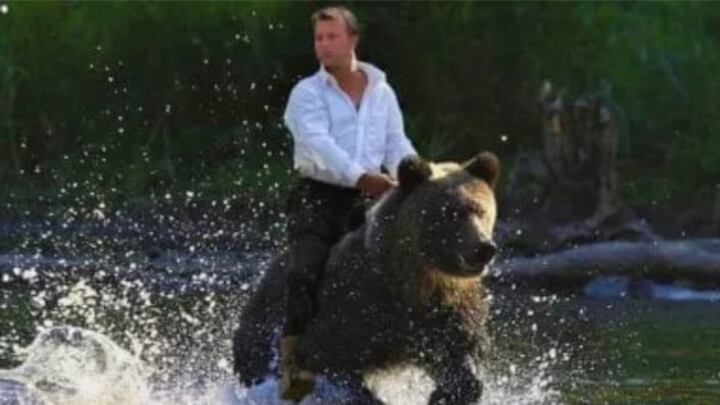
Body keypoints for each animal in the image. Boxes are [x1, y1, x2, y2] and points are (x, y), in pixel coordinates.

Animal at [233, 151, 500, 405]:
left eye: (480, 210)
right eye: (451, 213)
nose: (483, 248)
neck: (413, 279)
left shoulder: (442, 311)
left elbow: (459, 353)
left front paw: (444, 394)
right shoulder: (355, 306)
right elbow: (332, 361)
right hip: (265, 327)